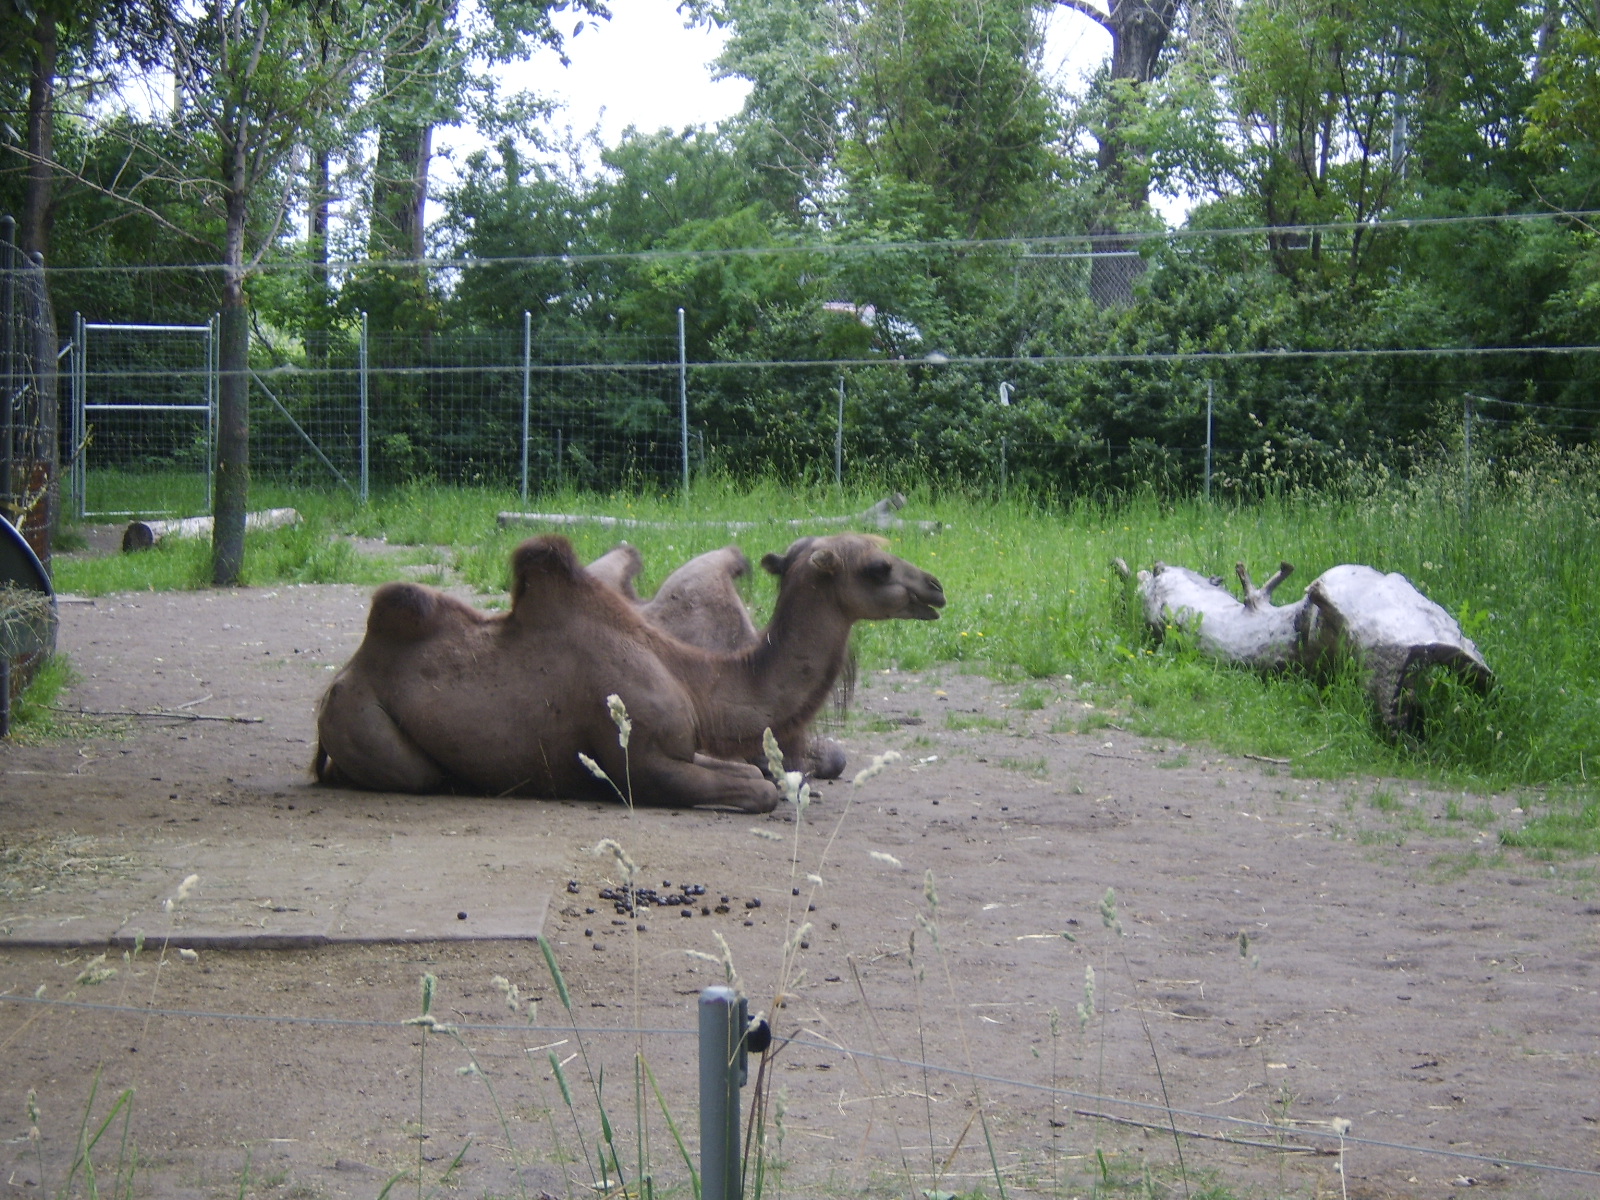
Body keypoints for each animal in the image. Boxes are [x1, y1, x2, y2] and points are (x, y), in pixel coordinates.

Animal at [310, 537, 934, 812]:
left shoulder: (687, 743)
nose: (936, 588)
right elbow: (760, 790)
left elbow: (762, 774)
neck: (697, 682)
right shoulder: (641, 764)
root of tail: (342, 678)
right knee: (415, 774)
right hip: (364, 723)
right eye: (879, 567)